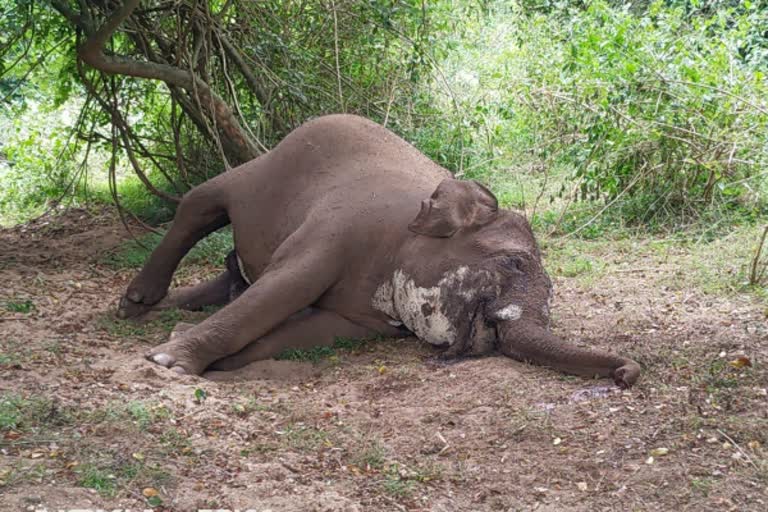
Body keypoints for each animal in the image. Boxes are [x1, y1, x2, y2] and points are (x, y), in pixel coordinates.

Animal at [117, 114, 640, 388]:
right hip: (258, 171)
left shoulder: (363, 317)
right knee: (201, 201)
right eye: (513, 261)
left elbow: (314, 328)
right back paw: (137, 300)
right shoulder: (338, 231)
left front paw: (196, 350)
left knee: (232, 274)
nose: (627, 373)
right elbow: (281, 291)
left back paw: (164, 306)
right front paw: (169, 362)